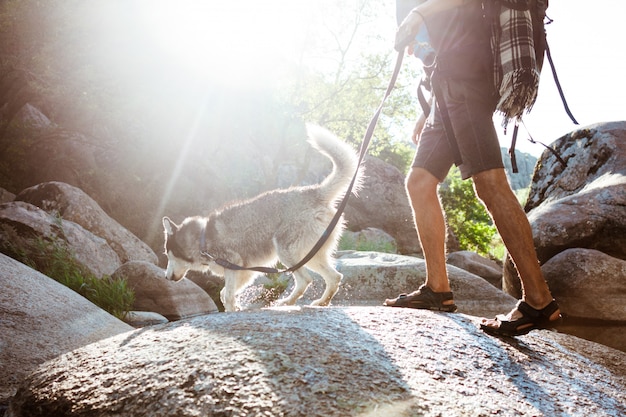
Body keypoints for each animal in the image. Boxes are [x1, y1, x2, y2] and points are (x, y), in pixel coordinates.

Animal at [161, 125, 360, 310]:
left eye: (168, 255)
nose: (166, 277)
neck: (203, 238)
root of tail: (314, 191)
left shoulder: (232, 265)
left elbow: (228, 295)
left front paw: (231, 311)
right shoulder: (245, 271)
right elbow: (226, 293)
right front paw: (235, 308)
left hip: (287, 251)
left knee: (306, 279)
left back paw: (287, 302)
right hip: (310, 254)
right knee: (335, 277)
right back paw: (321, 302)